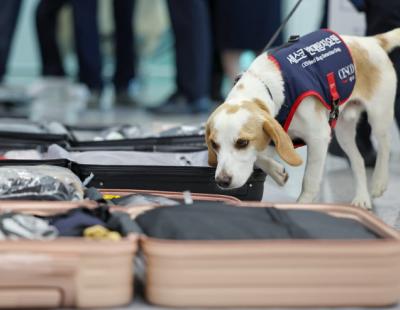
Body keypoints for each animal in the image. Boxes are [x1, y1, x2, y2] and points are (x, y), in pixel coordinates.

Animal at [206, 29, 400, 209]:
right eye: (214, 145)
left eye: (242, 143)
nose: (222, 181)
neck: (264, 84)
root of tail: (370, 41)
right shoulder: (276, 135)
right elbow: (260, 155)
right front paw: (277, 171)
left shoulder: (319, 137)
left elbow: (310, 180)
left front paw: (303, 204)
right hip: (343, 131)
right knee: (358, 161)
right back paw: (362, 198)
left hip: (379, 116)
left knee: (384, 145)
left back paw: (379, 182)